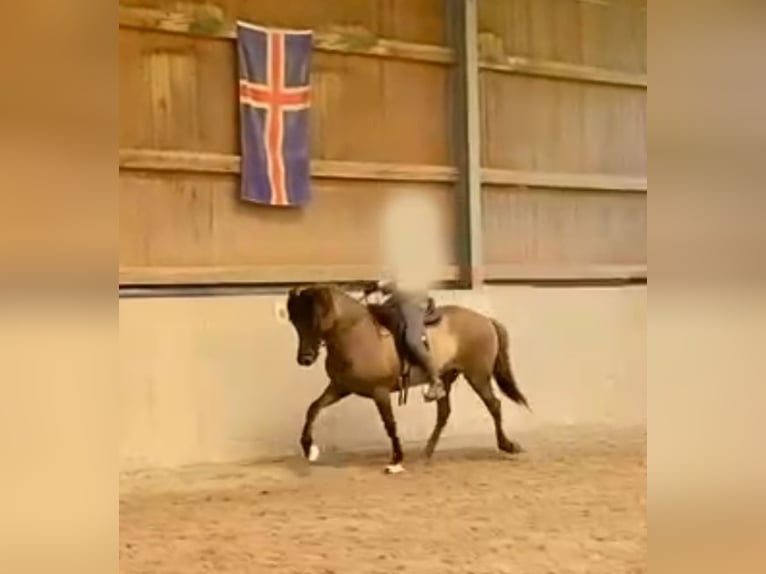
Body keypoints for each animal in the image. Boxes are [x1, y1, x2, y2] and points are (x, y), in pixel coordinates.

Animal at [285, 283, 530, 473]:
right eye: (295, 321)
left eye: (316, 318)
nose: (305, 358)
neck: (356, 334)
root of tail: (486, 320)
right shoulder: (340, 387)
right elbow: (313, 408)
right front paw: (309, 448)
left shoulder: (379, 391)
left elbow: (389, 424)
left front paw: (396, 459)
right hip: (446, 378)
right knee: (444, 413)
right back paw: (426, 453)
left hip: (477, 374)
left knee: (494, 405)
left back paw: (507, 445)